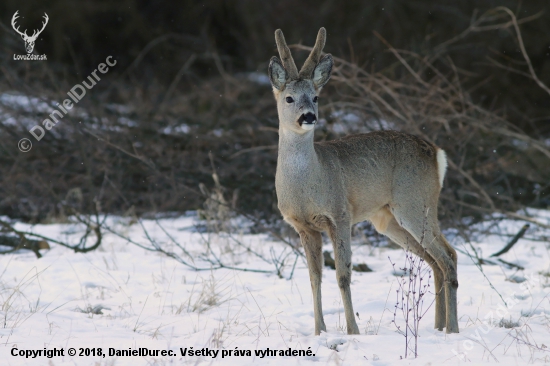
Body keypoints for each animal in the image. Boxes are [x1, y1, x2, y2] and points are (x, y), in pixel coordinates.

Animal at [270, 28, 460, 336]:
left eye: (315, 97)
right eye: (289, 98)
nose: (309, 116)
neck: (306, 186)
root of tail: (436, 154)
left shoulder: (340, 215)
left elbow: (343, 275)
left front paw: (352, 331)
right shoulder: (303, 226)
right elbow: (314, 278)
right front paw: (319, 331)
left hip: (415, 203)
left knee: (448, 256)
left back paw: (452, 329)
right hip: (389, 220)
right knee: (435, 260)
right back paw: (438, 326)